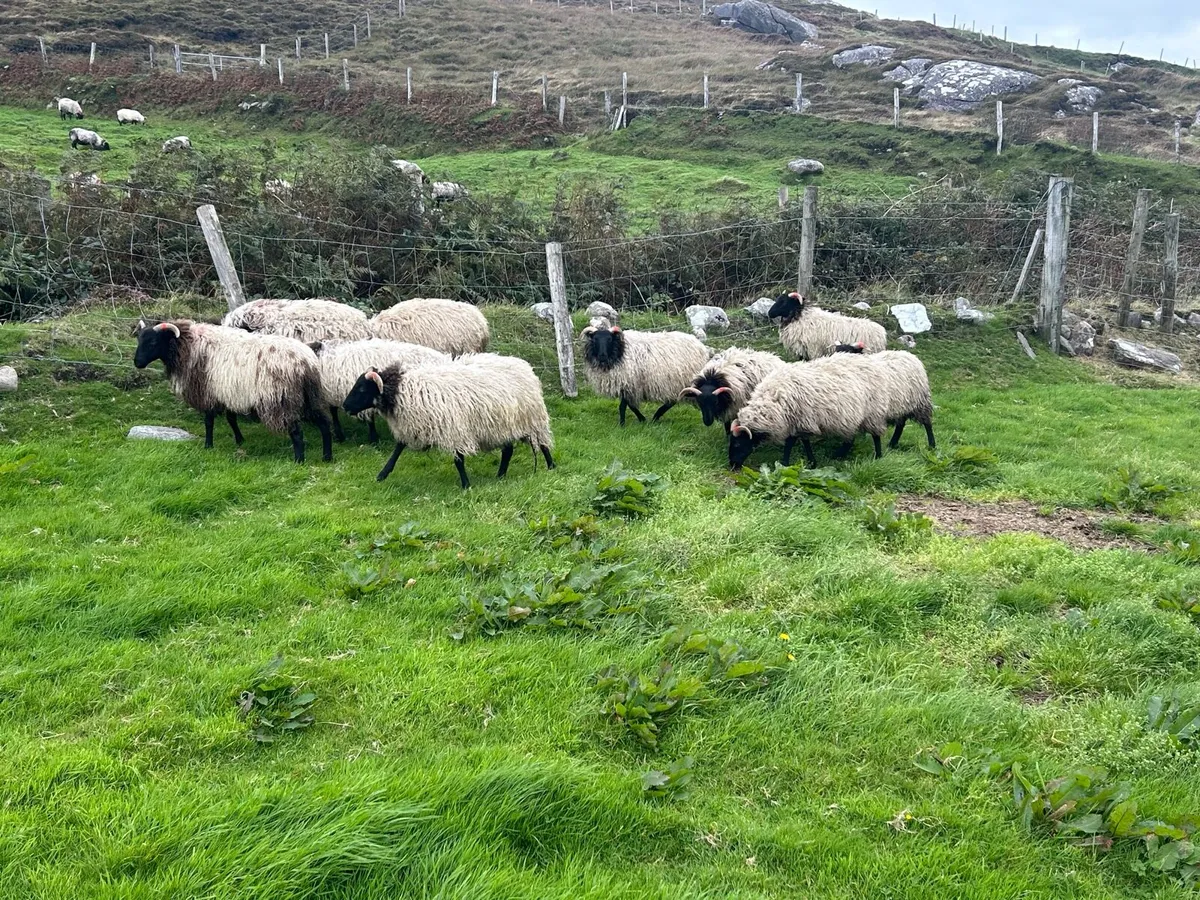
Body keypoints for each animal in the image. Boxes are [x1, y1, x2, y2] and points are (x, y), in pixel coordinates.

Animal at [132, 319, 333, 463]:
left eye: (153, 341)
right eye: (139, 340)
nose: (137, 363)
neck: (187, 346)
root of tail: (305, 361)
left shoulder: (208, 393)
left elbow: (209, 422)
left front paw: (208, 445)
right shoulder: (228, 392)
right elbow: (231, 419)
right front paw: (239, 440)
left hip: (280, 399)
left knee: (297, 432)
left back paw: (299, 460)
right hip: (310, 396)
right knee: (324, 423)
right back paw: (327, 456)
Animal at [341, 353, 555, 489]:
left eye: (362, 388)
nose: (345, 406)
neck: (402, 389)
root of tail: (524, 366)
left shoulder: (454, 429)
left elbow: (458, 460)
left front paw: (466, 485)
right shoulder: (412, 426)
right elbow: (397, 450)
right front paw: (383, 474)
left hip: (533, 419)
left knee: (543, 444)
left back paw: (551, 466)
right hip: (502, 424)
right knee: (508, 450)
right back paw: (501, 475)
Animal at [579, 321, 711, 426]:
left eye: (609, 339)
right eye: (595, 339)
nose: (602, 355)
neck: (620, 351)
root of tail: (701, 346)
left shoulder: (629, 382)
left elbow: (624, 406)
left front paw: (622, 424)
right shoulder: (627, 385)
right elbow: (630, 405)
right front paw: (641, 419)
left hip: (682, 380)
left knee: (672, 401)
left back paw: (657, 416)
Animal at [727, 354, 884, 470]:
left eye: (737, 444)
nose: (732, 465)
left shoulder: (801, 419)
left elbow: (790, 442)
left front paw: (785, 463)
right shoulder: (801, 421)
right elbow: (805, 441)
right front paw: (812, 462)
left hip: (873, 412)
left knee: (875, 435)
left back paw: (878, 457)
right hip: (852, 417)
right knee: (850, 438)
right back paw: (838, 455)